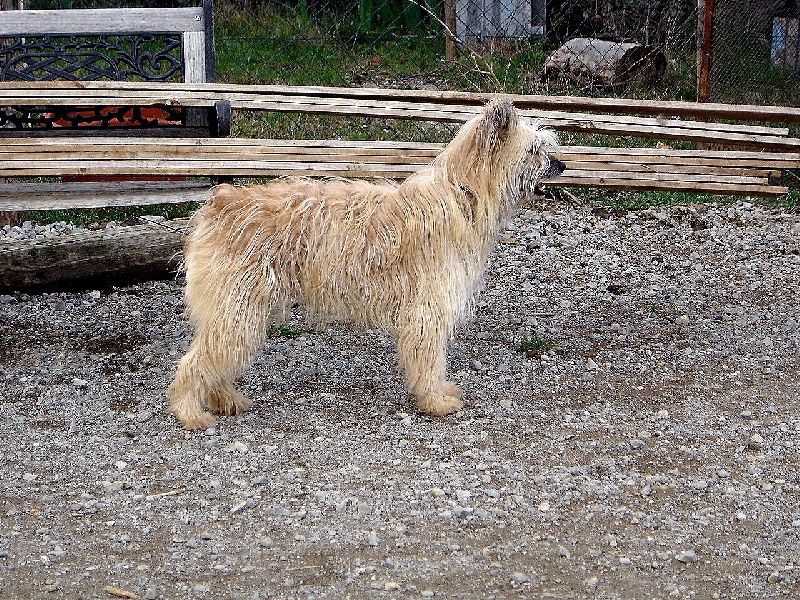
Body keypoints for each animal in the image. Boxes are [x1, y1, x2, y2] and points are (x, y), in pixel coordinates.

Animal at [169, 99, 564, 426]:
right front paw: (435, 401)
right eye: (534, 149)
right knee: (195, 361)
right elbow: (429, 359)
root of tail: (220, 203)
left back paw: (225, 400)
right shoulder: (428, 309)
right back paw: (190, 413)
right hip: (238, 308)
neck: (461, 192)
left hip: (237, 311)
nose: (561, 165)